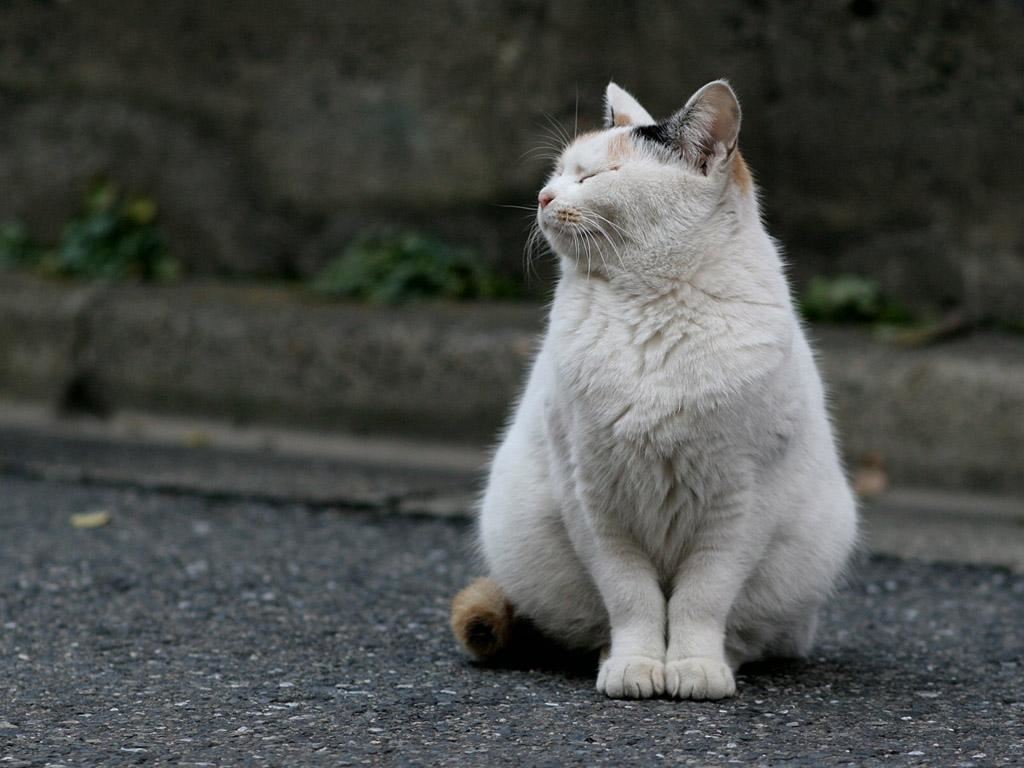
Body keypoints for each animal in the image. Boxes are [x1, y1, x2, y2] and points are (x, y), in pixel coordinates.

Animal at [452, 81, 860, 700]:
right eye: (559, 172)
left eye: (595, 176)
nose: (544, 196)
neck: (651, 307)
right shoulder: (592, 497)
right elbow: (632, 597)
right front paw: (636, 665)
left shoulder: (741, 505)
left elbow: (701, 598)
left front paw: (694, 666)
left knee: (752, 634)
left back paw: (725, 658)